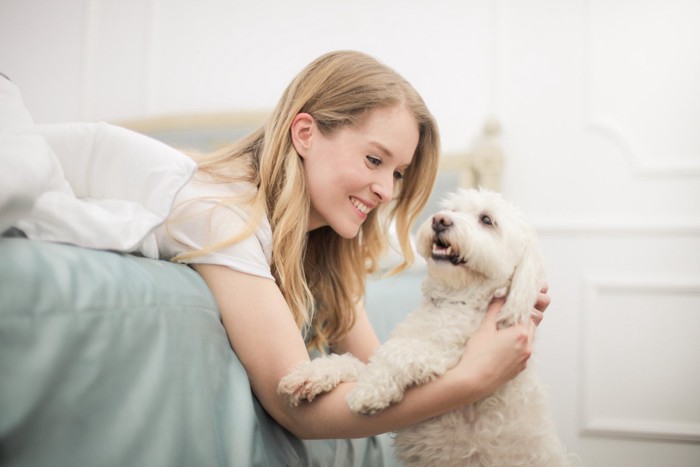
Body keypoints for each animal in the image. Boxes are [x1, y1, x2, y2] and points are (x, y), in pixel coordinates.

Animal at [278, 188, 568, 466]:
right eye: (452, 210)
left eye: (487, 220)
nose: (440, 220)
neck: (451, 302)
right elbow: (354, 361)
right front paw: (310, 375)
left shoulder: (449, 360)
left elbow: (399, 352)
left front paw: (367, 392)